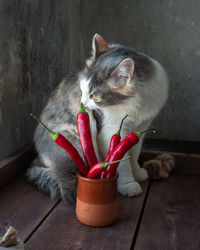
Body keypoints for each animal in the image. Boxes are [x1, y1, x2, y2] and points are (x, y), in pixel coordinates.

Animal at [26, 34, 167, 203]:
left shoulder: (139, 129)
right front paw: (128, 185)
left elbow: (133, 156)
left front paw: (138, 173)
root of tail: (37, 158)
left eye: (96, 97)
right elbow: (122, 163)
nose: (83, 103)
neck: (133, 104)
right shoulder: (111, 131)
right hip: (73, 138)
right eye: (82, 90)